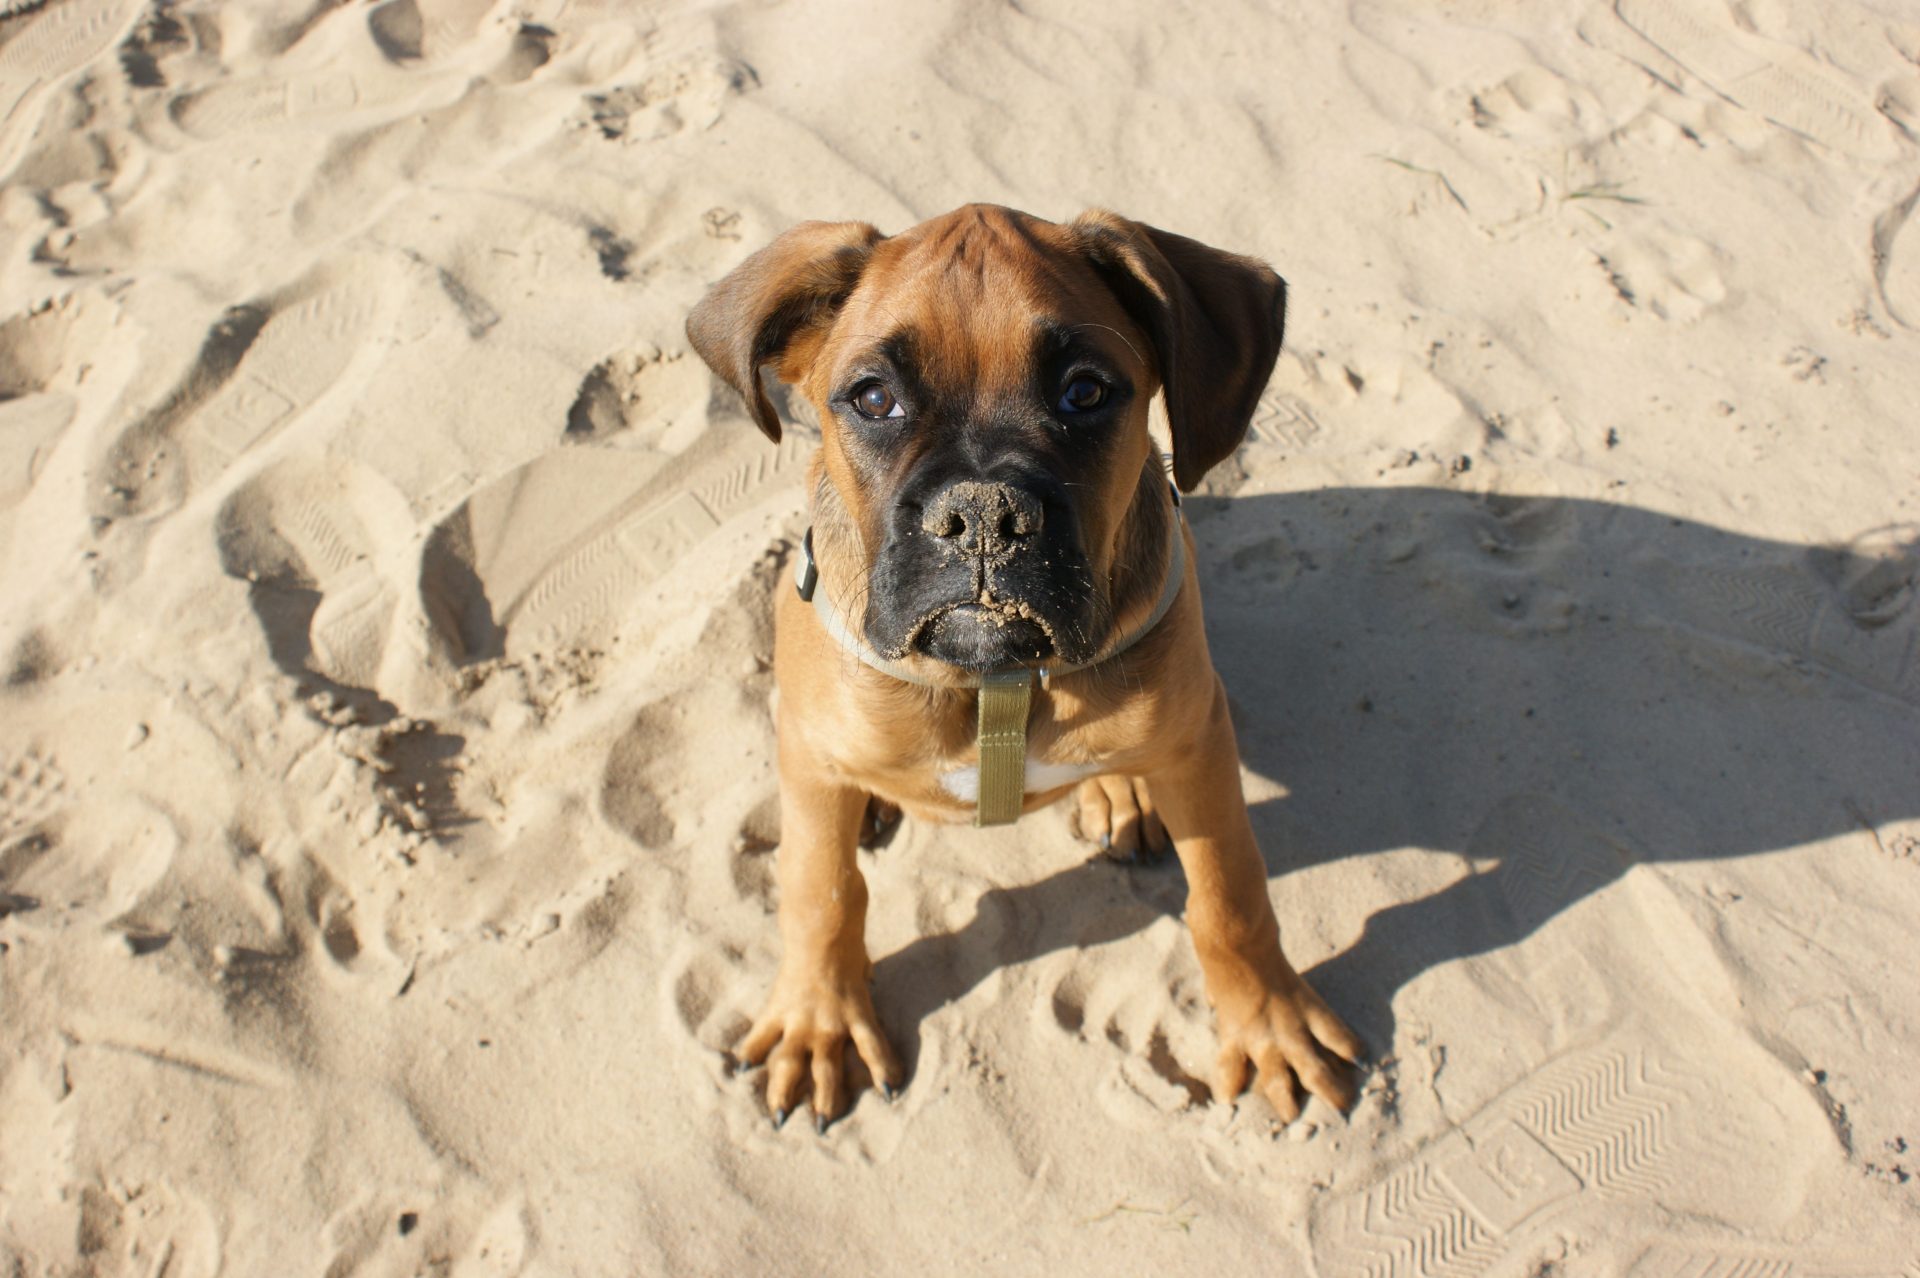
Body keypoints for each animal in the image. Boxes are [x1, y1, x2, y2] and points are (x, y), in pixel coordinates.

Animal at [691, 204, 1367, 1128]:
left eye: (1085, 391)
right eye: (873, 399)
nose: (983, 514)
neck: (993, 685)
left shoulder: (1199, 742)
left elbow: (1229, 897)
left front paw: (1270, 1024)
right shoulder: (816, 764)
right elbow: (818, 889)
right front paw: (818, 1022)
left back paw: (1119, 792)